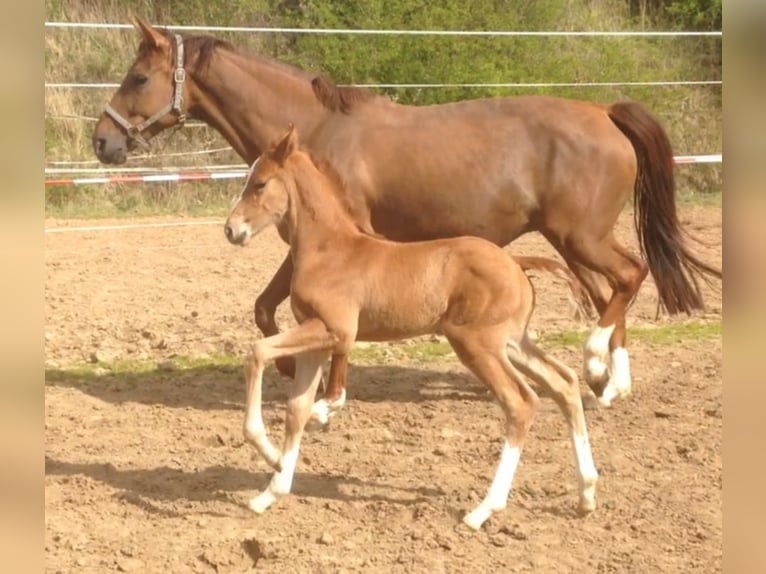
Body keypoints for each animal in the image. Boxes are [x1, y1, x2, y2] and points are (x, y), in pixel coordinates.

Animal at [224, 126, 600, 532]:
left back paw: (483, 509)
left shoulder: (334, 330)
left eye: (260, 184)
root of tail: (516, 262)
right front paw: (271, 489)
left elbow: (257, 354)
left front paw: (274, 449)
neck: (329, 250)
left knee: (521, 402)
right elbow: (296, 408)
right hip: (513, 342)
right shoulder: (317, 342)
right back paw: (586, 494)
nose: (231, 229)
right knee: (563, 382)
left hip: (476, 343)